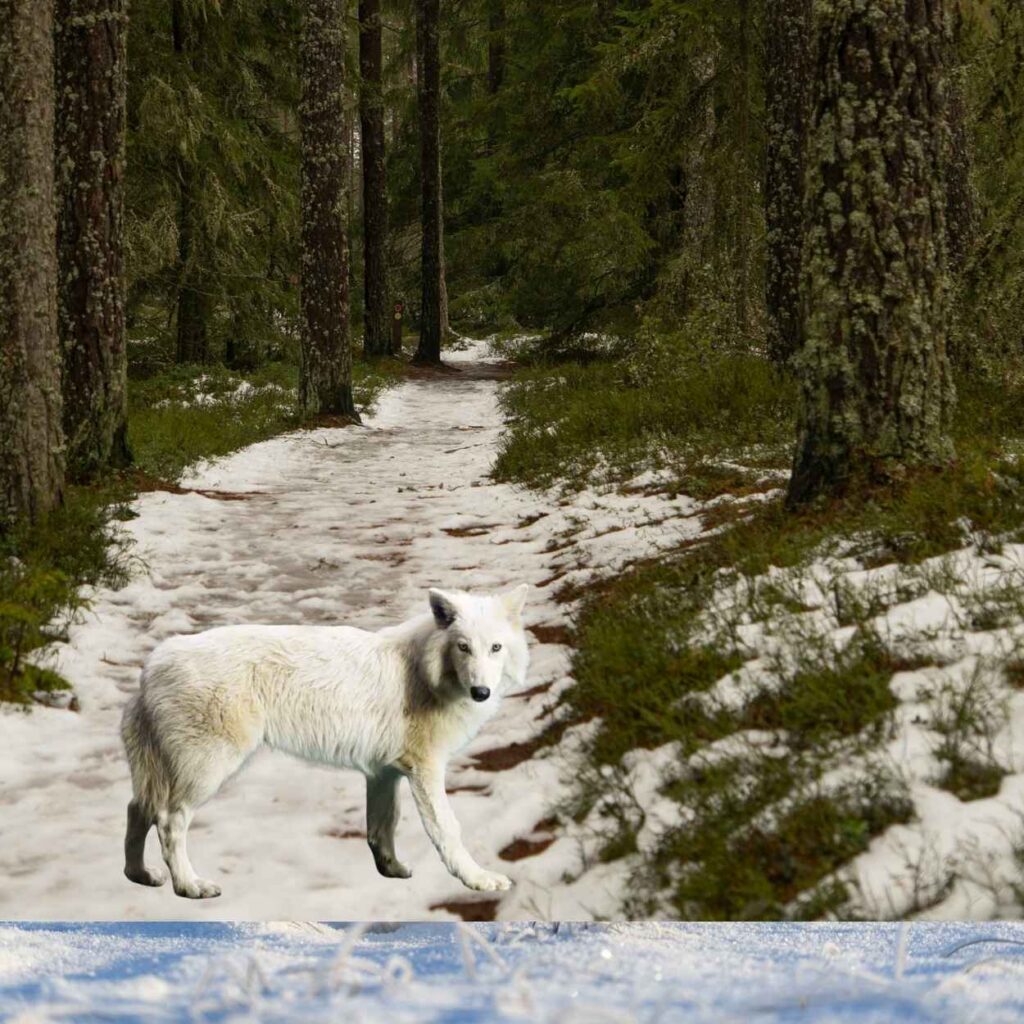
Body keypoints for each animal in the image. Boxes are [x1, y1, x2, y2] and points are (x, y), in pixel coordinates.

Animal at [120, 584, 530, 899]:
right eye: (463, 647)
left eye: (495, 648)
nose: (481, 692)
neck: (425, 674)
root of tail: (151, 663)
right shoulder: (425, 769)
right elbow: (448, 830)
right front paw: (478, 880)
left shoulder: (383, 774)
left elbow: (382, 827)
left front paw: (392, 870)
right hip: (208, 772)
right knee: (168, 821)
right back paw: (189, 886)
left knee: (136, 809)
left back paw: (139, 876)